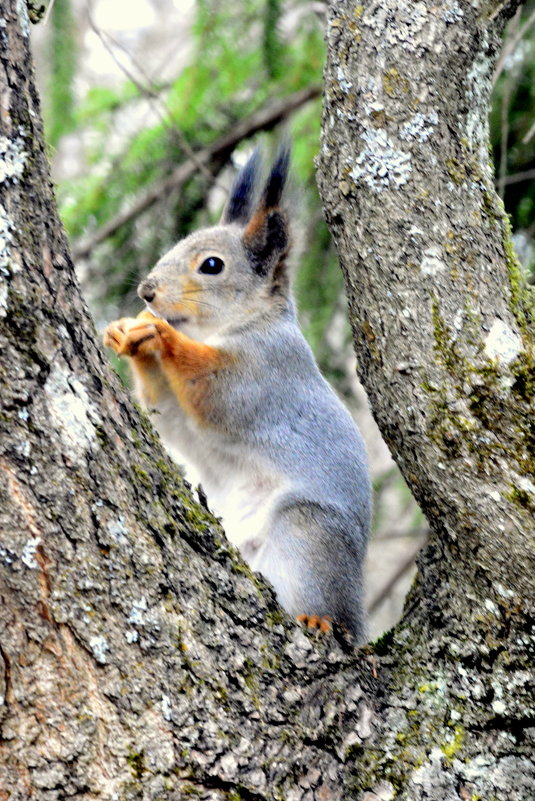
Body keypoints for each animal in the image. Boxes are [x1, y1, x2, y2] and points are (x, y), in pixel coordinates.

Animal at [104, 147, 372, 640]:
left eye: (212, 265)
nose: (146, 291)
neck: (226, 329)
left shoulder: (264, 374)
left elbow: (212, 389)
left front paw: (163, 337)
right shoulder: (182, 416)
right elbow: (169, 415)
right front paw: (128, 335)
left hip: (308, 532)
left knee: (323, 601)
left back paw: (318, 618)